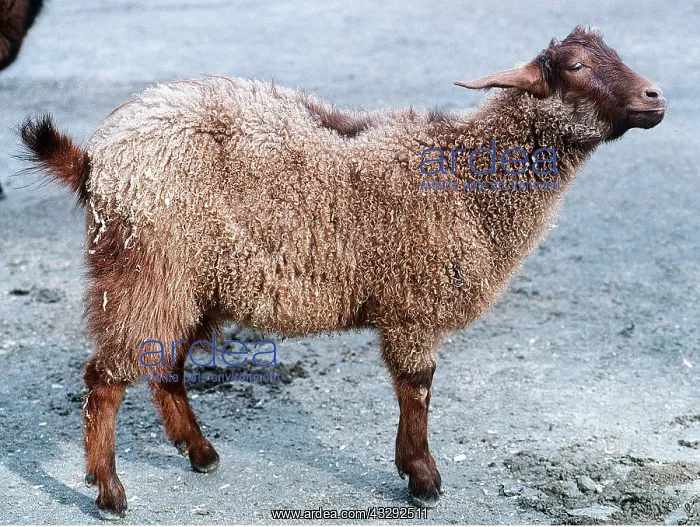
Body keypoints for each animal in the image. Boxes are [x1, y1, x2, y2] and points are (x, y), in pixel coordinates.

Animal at [20, 26, 665, 516]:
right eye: (576, 66)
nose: (656, 97)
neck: (465, 173)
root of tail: (95, 160)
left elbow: (415, 389)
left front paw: (414, 471)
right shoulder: (414, 301)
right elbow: (418, 388)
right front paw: (423, 478)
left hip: (187, 281)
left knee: (165, 367)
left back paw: (200, 453)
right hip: (146, 268)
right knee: (106, 379)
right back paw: (109, 491)